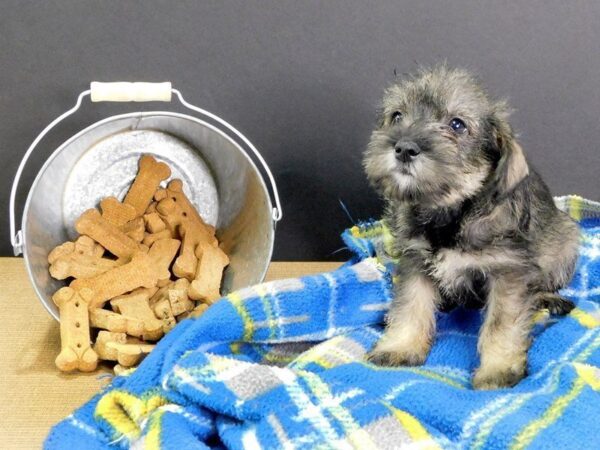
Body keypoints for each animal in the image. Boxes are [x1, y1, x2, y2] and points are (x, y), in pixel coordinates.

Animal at [364, 65, 580, 388]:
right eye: (397, 116)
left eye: (457, 125)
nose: (404, 148)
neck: (449, 214)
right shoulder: (415, 262)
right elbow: (411, 305)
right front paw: (400, 346)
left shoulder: (508, 273)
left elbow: (501, 324)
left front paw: (498, 368)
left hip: (566, 240)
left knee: (543, 284)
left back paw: (549, 299)